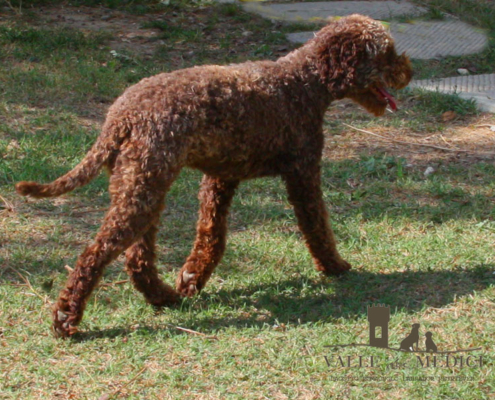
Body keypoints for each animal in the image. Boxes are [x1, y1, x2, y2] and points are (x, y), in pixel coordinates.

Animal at [14, 14, 410, 338]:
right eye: (387, 53)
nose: (409, 72)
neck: (303, 82)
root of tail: (120, 115)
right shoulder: (303, 173)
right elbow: (318, 228)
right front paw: (335, 266)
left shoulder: (220, 178)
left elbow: (211, 236)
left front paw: (192, 277)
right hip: (143, 191)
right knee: (94, 254)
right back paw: (66, 318)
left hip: (142, 187)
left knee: (136, 258)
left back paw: (163, 297)